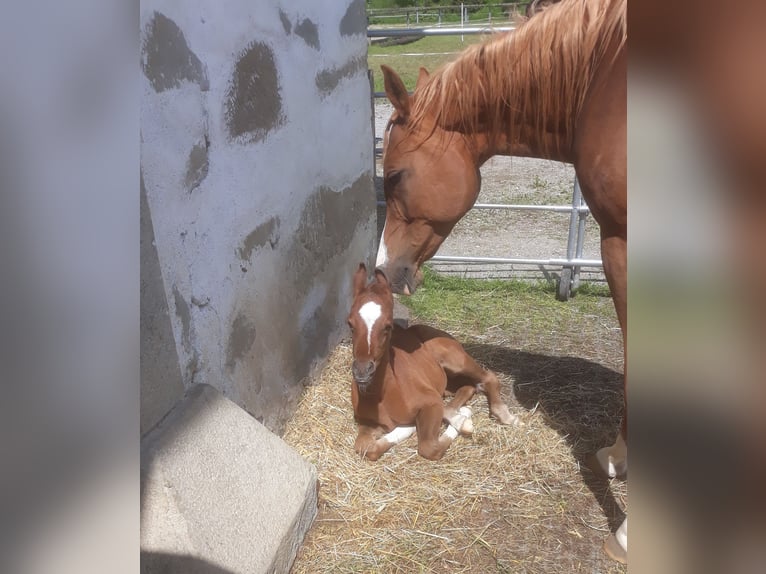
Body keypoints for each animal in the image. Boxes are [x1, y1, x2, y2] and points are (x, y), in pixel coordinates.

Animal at [350, 266, 520, 464]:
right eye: (350, 324)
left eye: (388, 326)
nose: (362, 372)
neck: (384, 395)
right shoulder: (366, 423)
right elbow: (364, 448)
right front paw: (405, 429)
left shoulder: (430, 401)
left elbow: (429, 448)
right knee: (467, 387)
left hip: (455, 360)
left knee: (488, 377)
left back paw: (504, 416)